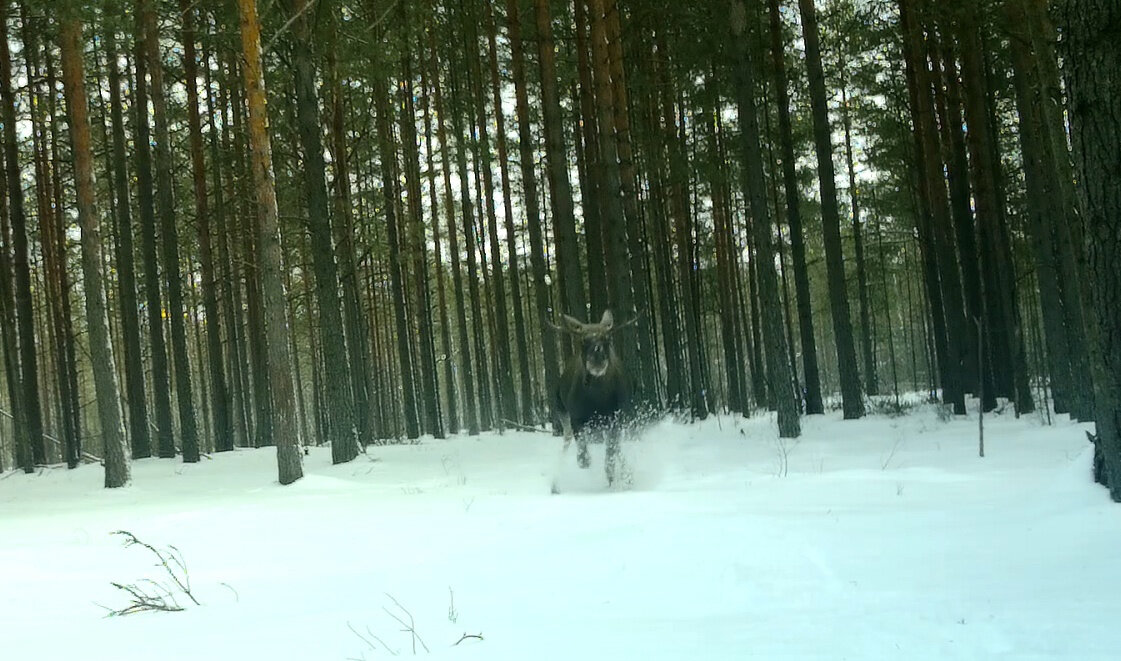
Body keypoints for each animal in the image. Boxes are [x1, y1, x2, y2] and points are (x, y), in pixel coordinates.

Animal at [549, 311, 636, 486]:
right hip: (562, 410)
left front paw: (614, 476)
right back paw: (555, 484)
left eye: (607, 338)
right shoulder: (576, 418)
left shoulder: (615, 418)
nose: (597, 358)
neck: (598, 399)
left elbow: (611, 452)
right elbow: (582, 454)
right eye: (583, 339)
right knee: (567, 437)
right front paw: (585, 460)